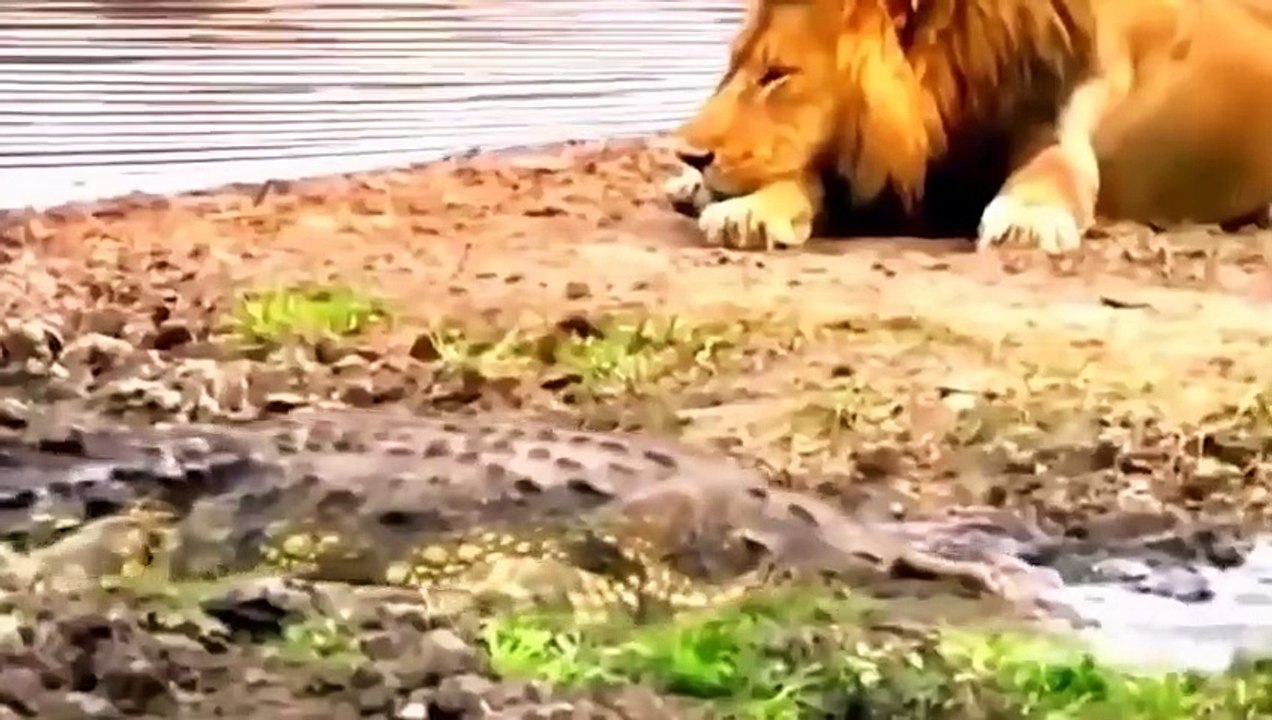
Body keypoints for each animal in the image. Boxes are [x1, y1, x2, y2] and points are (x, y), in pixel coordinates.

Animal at [664, 0, 1272, 254]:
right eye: (734, 64)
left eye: (778, 75)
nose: (687, 153)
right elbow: (798, 177)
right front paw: (748, 212)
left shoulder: (1065, 124)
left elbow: (1053, 171)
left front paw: (1026, 220)